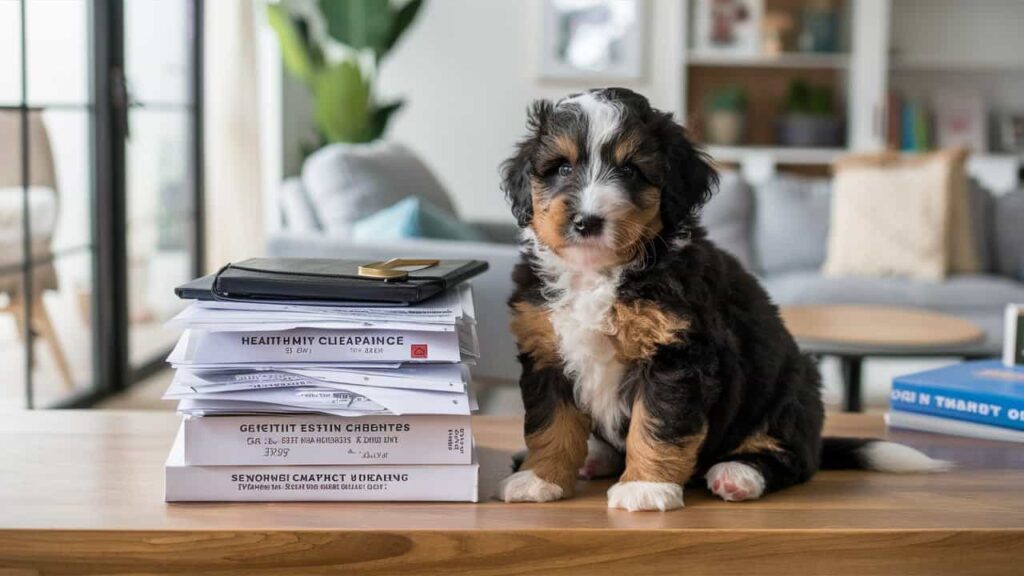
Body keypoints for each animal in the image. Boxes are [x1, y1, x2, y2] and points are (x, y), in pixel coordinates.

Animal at [495, 87, 950, 508]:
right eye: (562, 167)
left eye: (631, 171)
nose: (586, 222)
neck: (599, 273)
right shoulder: (547, 352)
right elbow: (549, 424)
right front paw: (540, 478)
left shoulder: (677, 356)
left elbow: (658, 424)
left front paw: (645, 487)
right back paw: (595, 456)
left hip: (787, 393)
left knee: (791, 457)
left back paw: (738, 474)